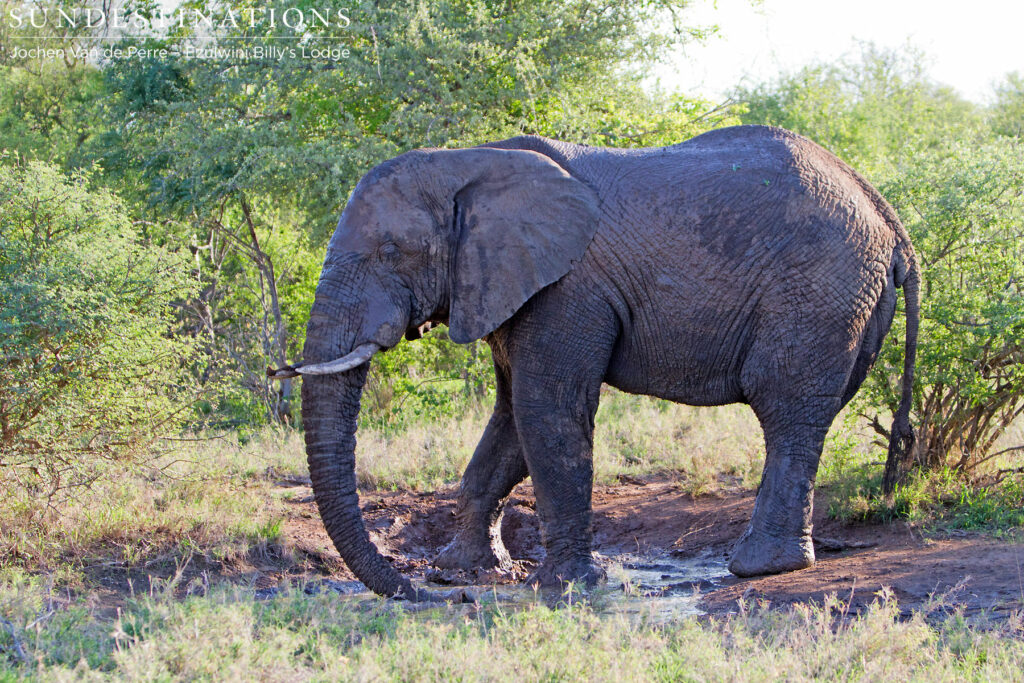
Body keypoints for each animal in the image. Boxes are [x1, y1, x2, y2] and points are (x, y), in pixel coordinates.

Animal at [269, 125, 919, 601]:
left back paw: (759, 568)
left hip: (818, 296)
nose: (414, 590)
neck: (469, 162)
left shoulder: (568, 289)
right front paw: (461, 571)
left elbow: (547, 413)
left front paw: (565, 587)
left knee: (786, 413)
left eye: (389, 251)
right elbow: (510, 423)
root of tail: (889, 219)